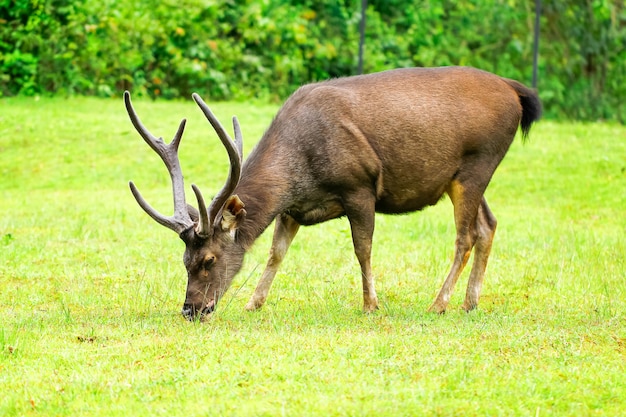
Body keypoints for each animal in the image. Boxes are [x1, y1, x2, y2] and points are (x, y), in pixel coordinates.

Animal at [124, 65, 540, 320]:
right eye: (184, 261)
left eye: (209, 260)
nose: (191, 309)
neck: (300, 170)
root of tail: (517, 92)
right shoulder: (291, 209)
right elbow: (276, 253)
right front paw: (253, 302)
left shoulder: (360, 186)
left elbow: (363, 249)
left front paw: (371, 304)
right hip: (462, 176)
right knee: (488, 224)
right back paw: (470, 302)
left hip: (478, 162)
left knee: (465, 236)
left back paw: (439, 303)